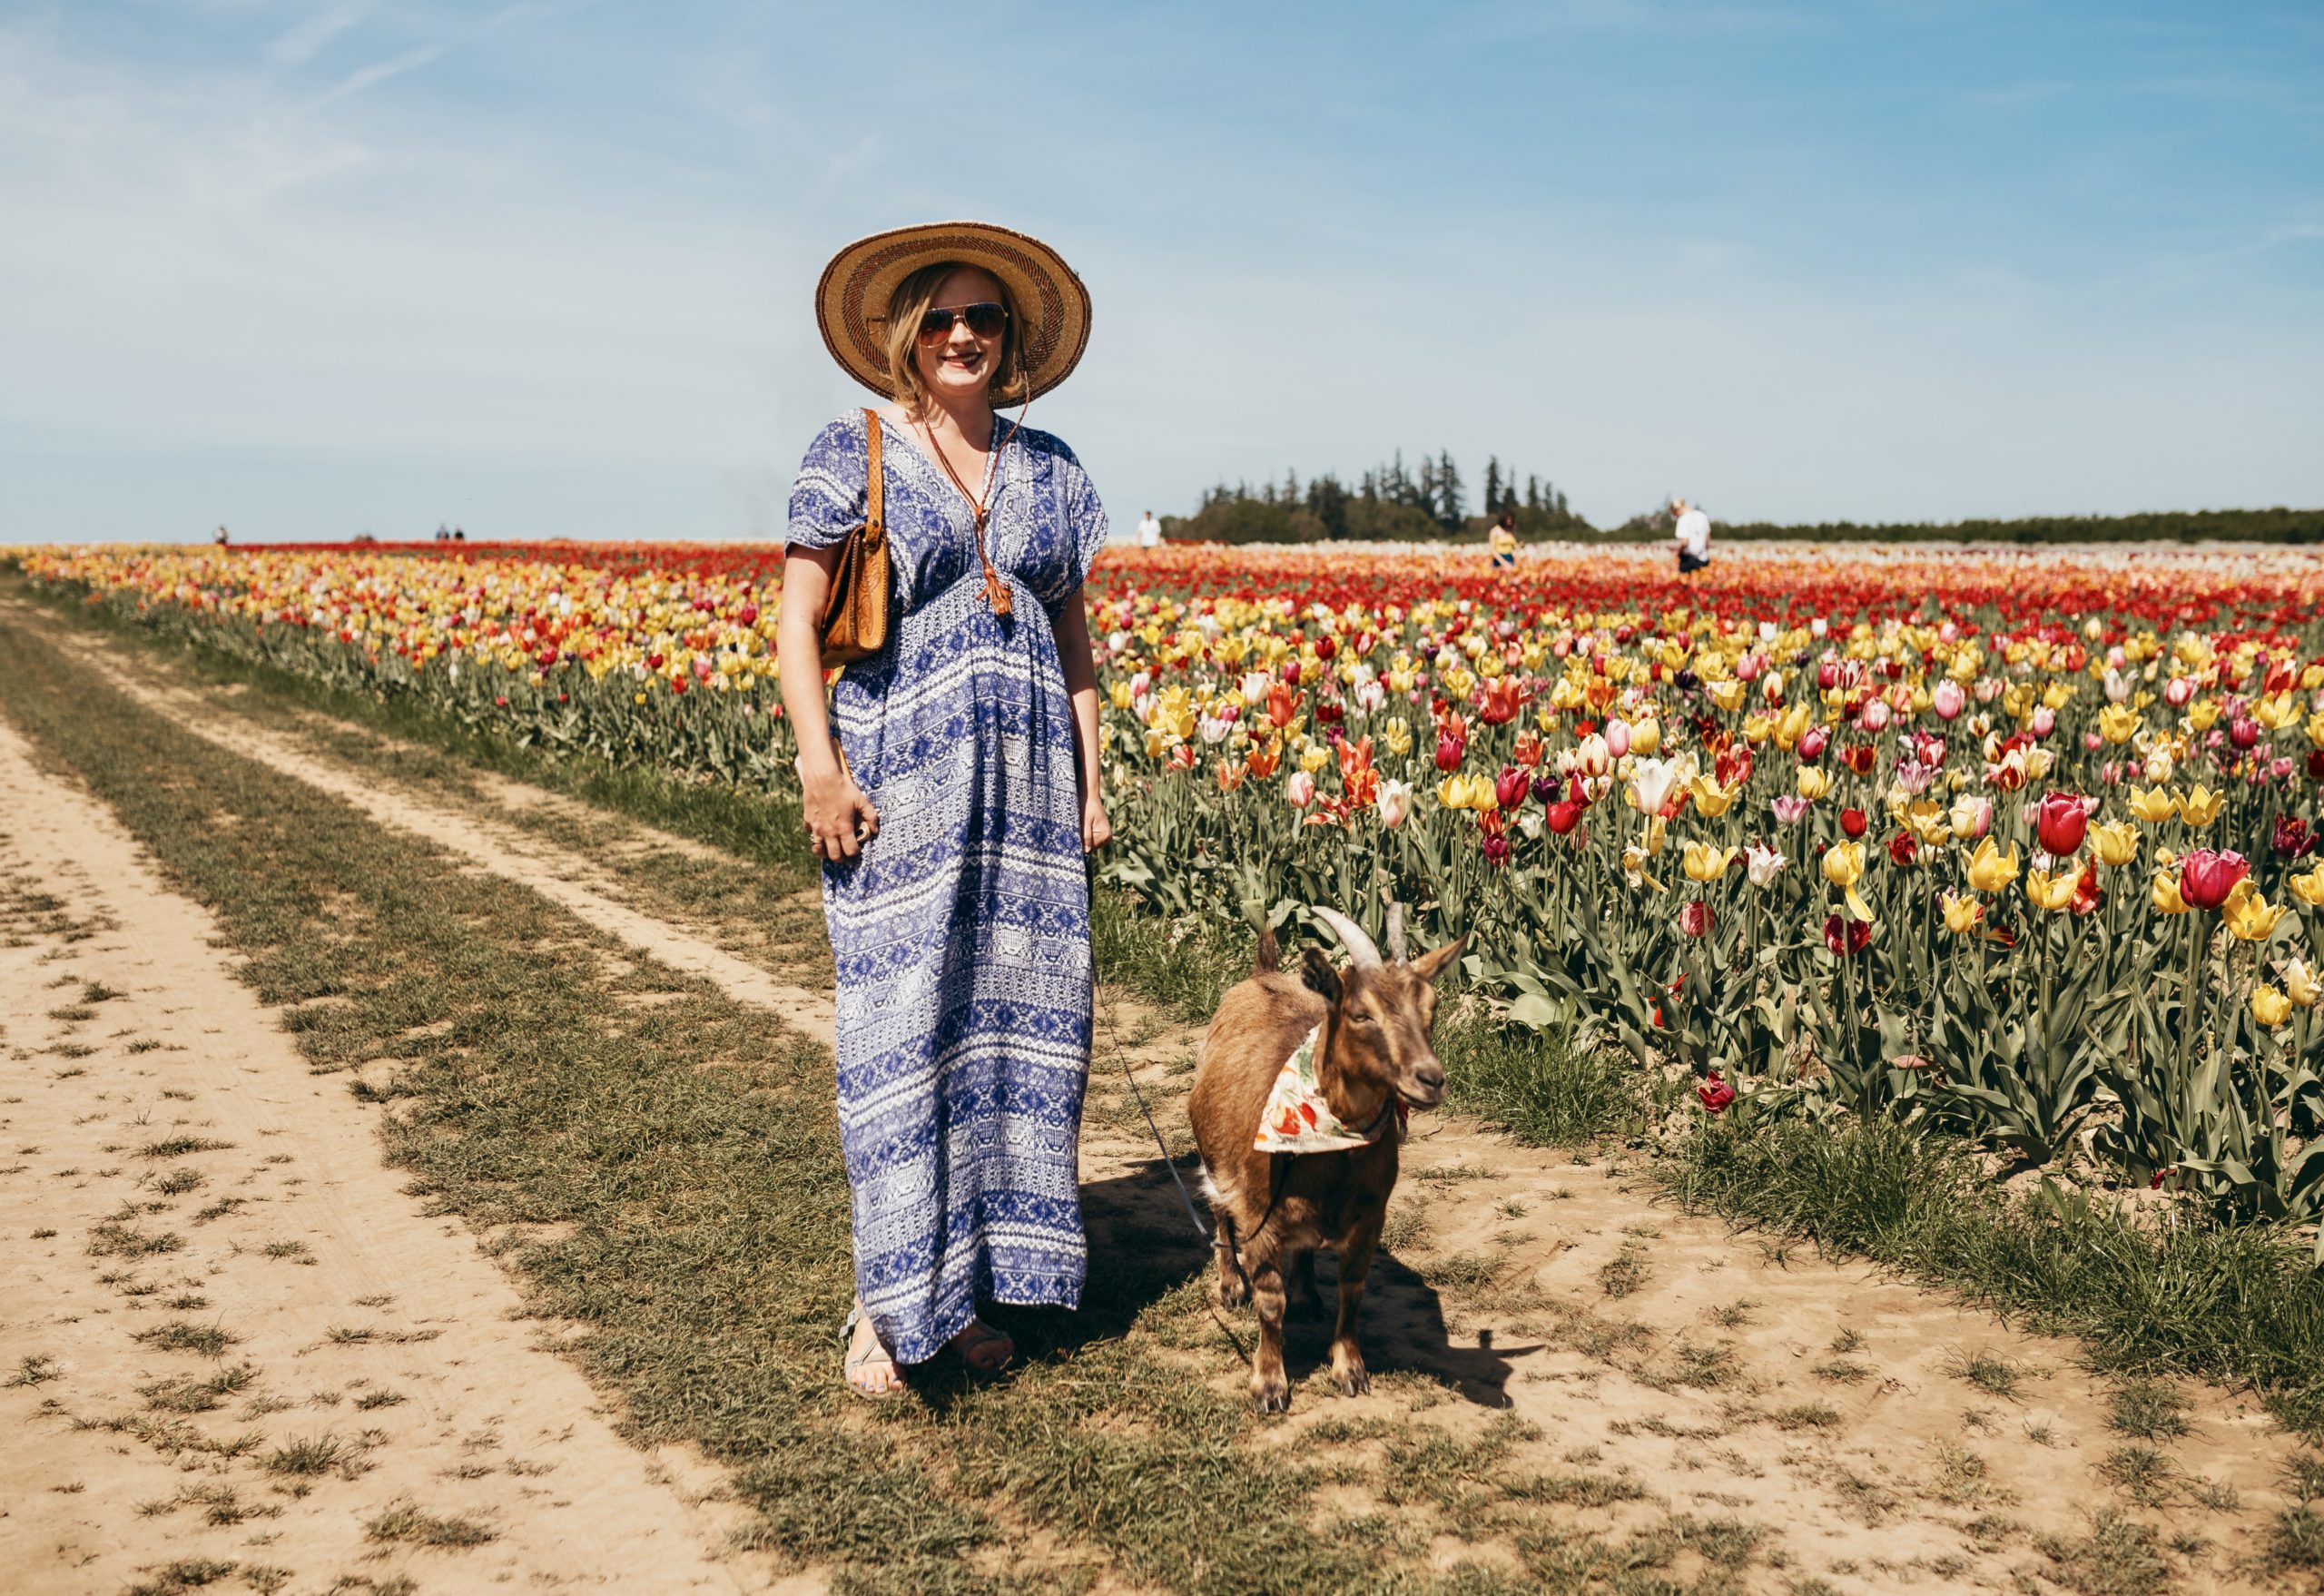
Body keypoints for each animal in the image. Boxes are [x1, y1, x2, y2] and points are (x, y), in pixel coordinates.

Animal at [1189, 905, 1459, 1422]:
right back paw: (1231, 1286)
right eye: (1361, 1013)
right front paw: (1269, 1386)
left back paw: (1308, 1293)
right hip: (1214, 1155)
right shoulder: (1261, 1214)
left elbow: (1352, 1292)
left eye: (1431, 1010)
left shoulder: (1371, 1218)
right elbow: (1270, 1303)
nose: (1431, 1079)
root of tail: (1264, 973)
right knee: (1218, 1209)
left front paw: (1350, 1371)